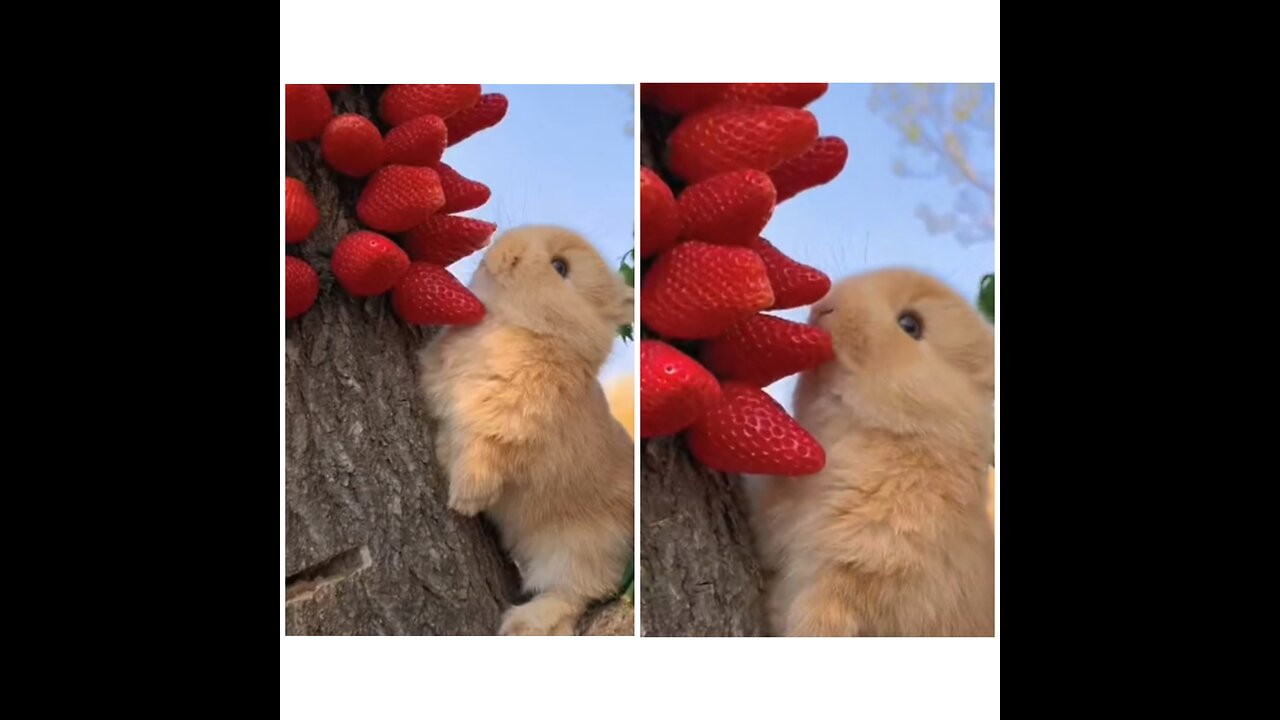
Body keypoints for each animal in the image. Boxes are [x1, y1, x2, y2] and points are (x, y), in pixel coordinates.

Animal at [419, 225, 634, 632]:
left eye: (560, 267)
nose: (504, 253)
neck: (521, 328)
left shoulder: (509, 425)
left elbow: (483, 456)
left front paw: (464, 500)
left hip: (579, 548)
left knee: (579, 592)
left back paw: (524, 625)